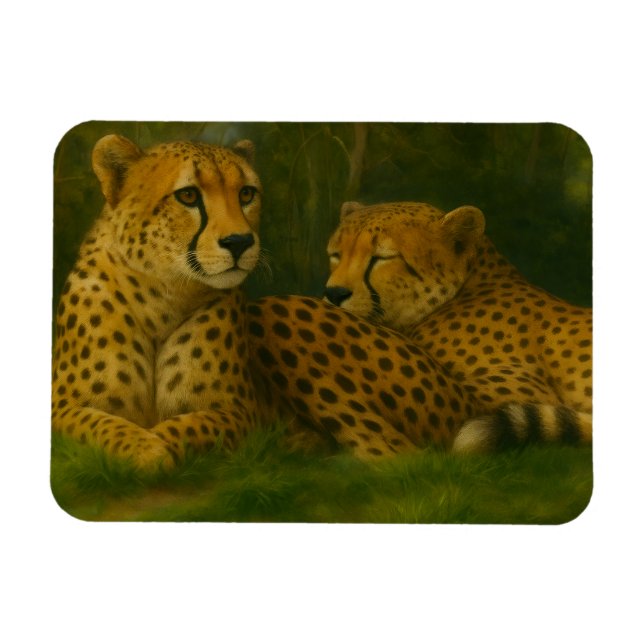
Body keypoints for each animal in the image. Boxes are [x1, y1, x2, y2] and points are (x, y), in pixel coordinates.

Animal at [52, 134, 263, 471]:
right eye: (188, 195)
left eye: (246, 193)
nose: (240, 242)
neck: (163, 295)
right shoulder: (63, 405)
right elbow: (101, 423)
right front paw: (146, 450)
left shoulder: (239, 410)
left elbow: (190, 424)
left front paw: (155, 447)